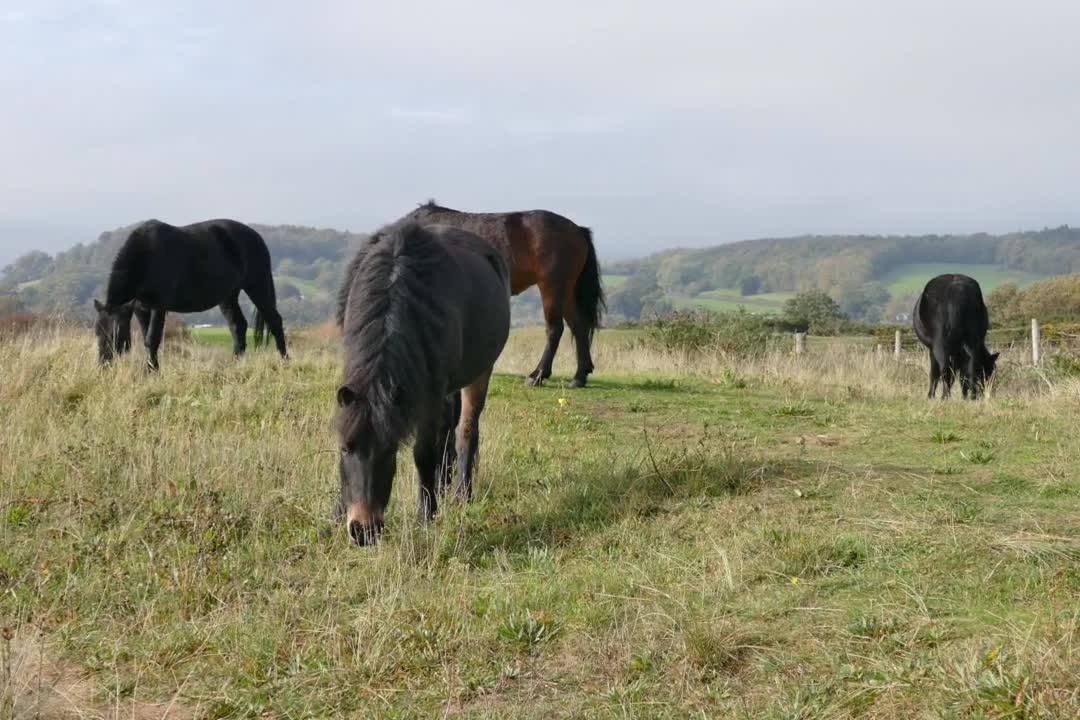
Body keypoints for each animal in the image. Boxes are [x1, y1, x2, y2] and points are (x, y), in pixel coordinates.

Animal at [93, 218, 287, 367]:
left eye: (116, 332)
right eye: (97, 331)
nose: (104, 364)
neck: (146, 255)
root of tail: (256, 237)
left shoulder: (159, 306)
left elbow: (152, 339)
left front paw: (150, 372)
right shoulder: (141, 308)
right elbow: (147, 338)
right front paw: (153, 370)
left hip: (257, 285)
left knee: (274, 321)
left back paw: (284, 361)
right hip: (228, 296)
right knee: (238, 326)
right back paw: (234, 364)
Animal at [332, 221, 509, 546]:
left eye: (389, 450)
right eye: (344, 449)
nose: (364, 530)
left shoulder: (429, 395)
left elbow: (423, 453)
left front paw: (426, 514)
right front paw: (336, 513)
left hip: (478, 374)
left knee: (465, 431)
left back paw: (460, 494)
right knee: (448, 431)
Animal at [395, 197, 604, 388]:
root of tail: (578, 230)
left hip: (553, 287)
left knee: (555, 329)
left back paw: (538, 375)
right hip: (566, 291)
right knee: (579, 327)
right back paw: (579, 376)